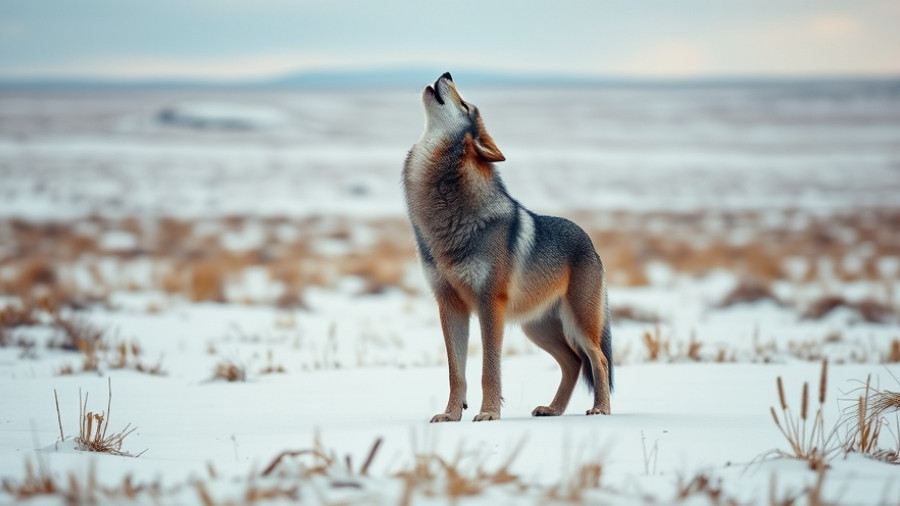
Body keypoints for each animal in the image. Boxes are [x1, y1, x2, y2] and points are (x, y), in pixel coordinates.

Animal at [403, 72, 612, 422]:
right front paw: (450, 415)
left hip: (579, 324)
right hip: (537, 329)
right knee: (573, 362)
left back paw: (600, 409)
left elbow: (489, 368)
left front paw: (488, 413)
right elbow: (455, 373)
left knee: (599, 359)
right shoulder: (449, 305)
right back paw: (553, 409)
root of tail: (589, 241)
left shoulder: (491, 304)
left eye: (465, 105)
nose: (446, 74)